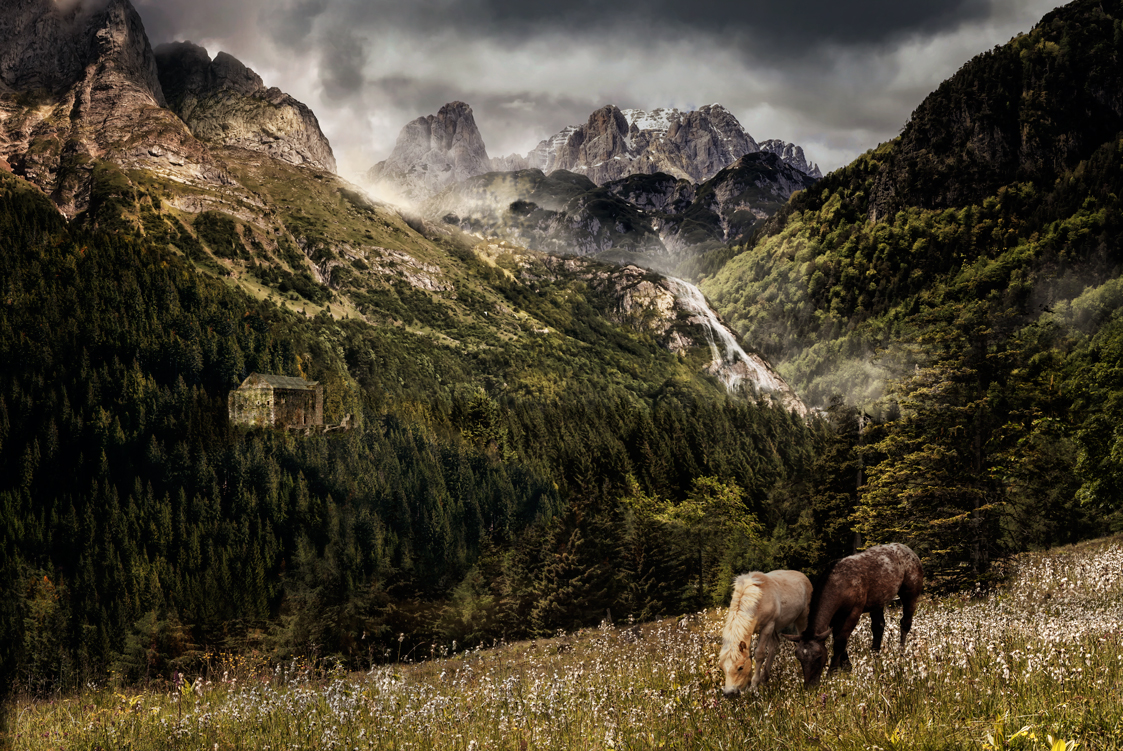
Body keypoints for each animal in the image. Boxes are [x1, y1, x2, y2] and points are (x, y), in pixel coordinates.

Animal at [781, 541, 920, 687]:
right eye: (799, 658)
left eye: (818, 656)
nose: (810, 686)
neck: (840, 582)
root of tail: (908, 550)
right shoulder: (835, 617)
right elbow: (838, 638)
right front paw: (846, 667)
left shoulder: (854, 611)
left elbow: (840, 640)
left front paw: (832, 672)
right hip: (878, 602)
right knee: (878, 627)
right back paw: (875, 656)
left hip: (910, 594)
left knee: (905, 623)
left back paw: (901, 653)